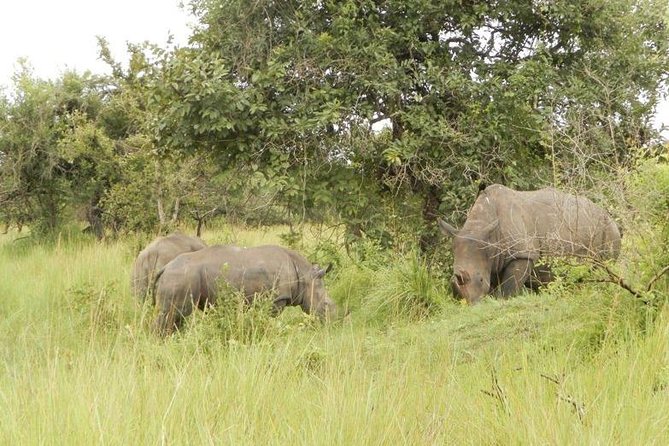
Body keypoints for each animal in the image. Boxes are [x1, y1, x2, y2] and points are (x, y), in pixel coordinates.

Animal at [153, 244, 336, 335]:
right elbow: (268, 319)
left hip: (182, 276)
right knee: (173, 313)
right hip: (181, 276)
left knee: (177, 316)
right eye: (326, 305)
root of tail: (165, 268)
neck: (305, 275)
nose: (331, 324)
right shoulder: (277, 299)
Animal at [438, 184, 621, 304]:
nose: (471, 305)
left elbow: (509, 286)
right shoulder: (492, 259)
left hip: (608, 228)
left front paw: (501, 301)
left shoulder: (523, 254)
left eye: (481, 280)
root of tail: (609, 215)